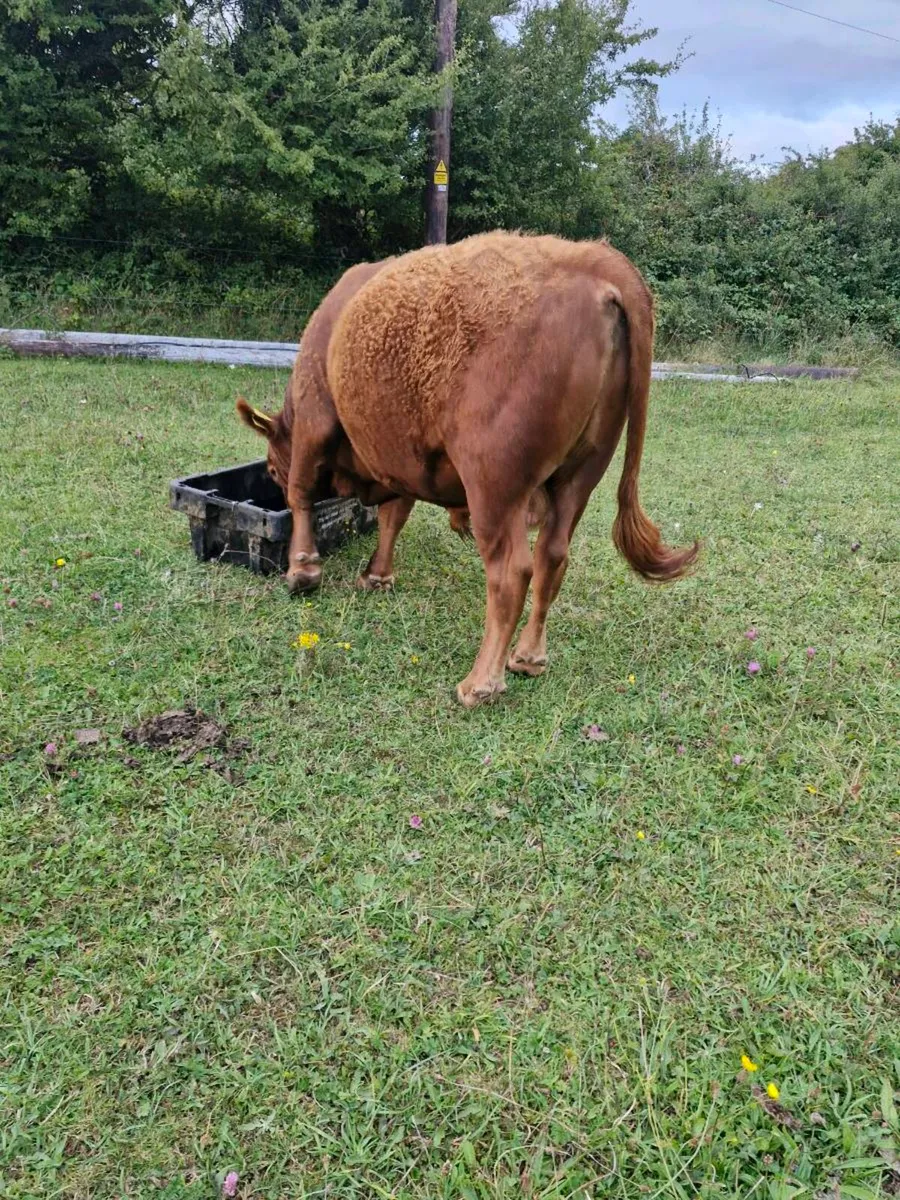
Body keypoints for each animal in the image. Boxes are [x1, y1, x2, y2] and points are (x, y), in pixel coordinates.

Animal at [239, 231, 698, 707]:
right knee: (552, 556)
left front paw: (302, 572)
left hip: (493, 484)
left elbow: (302, 494)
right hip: (581, 475)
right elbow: (393, 516)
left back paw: (480, 682)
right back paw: (527, 657)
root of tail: (594, 258)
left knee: (511, 572)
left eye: (270, 469)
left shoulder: (315, 419)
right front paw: (377, 575)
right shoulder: (401, 458)